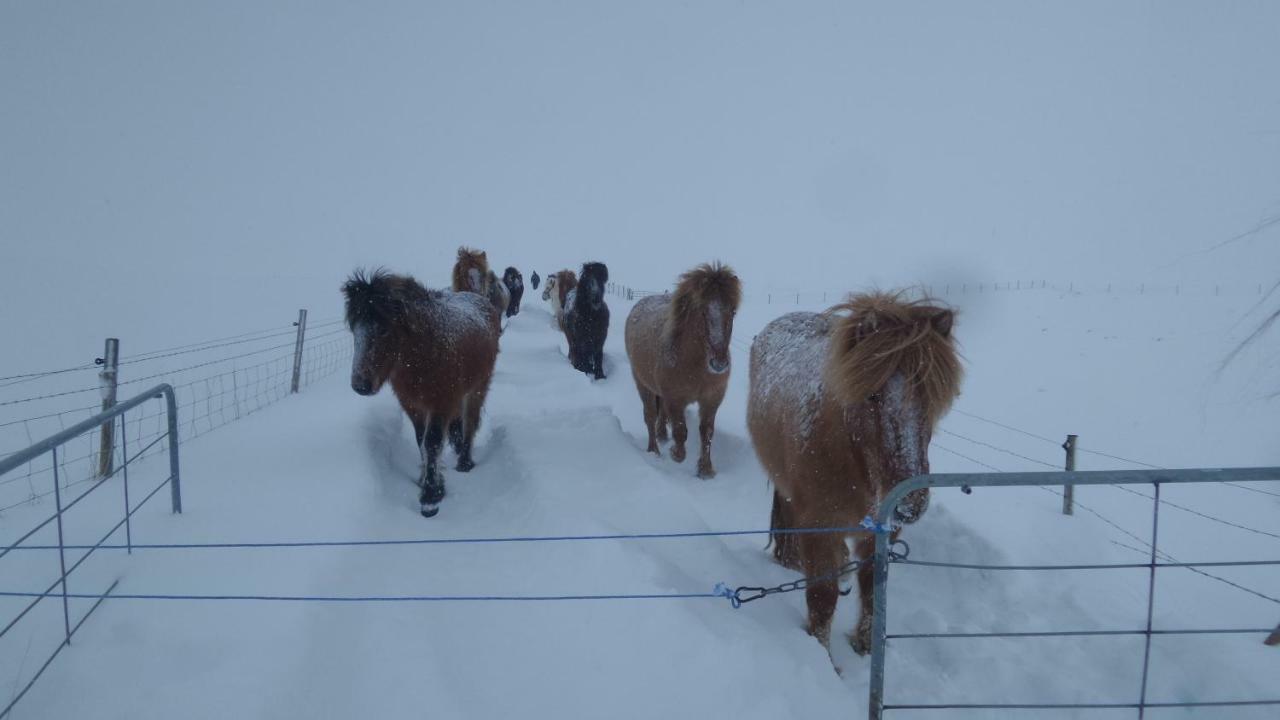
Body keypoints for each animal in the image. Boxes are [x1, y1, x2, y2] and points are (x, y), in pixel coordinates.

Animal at [343, 267, 501, 515]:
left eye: (384, 329)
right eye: (353, 328)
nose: (360, 385)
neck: (427, 352)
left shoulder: (442, 403)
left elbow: (432, 442)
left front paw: (431, 496)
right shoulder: (412, 405)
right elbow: (421, 441)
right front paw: (425, 480)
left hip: (477, 388)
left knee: (470, 422)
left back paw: (464, 461)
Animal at [622, 260, 742, 474]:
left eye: (733, 312)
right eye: (702, 311)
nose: (719, 364)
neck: (695, 366)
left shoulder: (711, 400)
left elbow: (707, 433)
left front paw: (705, 469)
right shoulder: (675, 399)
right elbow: (680, 431)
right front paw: (676, 454)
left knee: (660, 413)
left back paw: (662, 435)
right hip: (642, 383)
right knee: (650, 415)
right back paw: (654, 450)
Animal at [747, 289, 962, 655]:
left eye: (931, 398)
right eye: (872, 395)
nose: (910, 504)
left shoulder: (882, 531)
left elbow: (873, 587)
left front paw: (865, 645)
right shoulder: (818, 526)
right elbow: (823, 598)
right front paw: (822, 655)